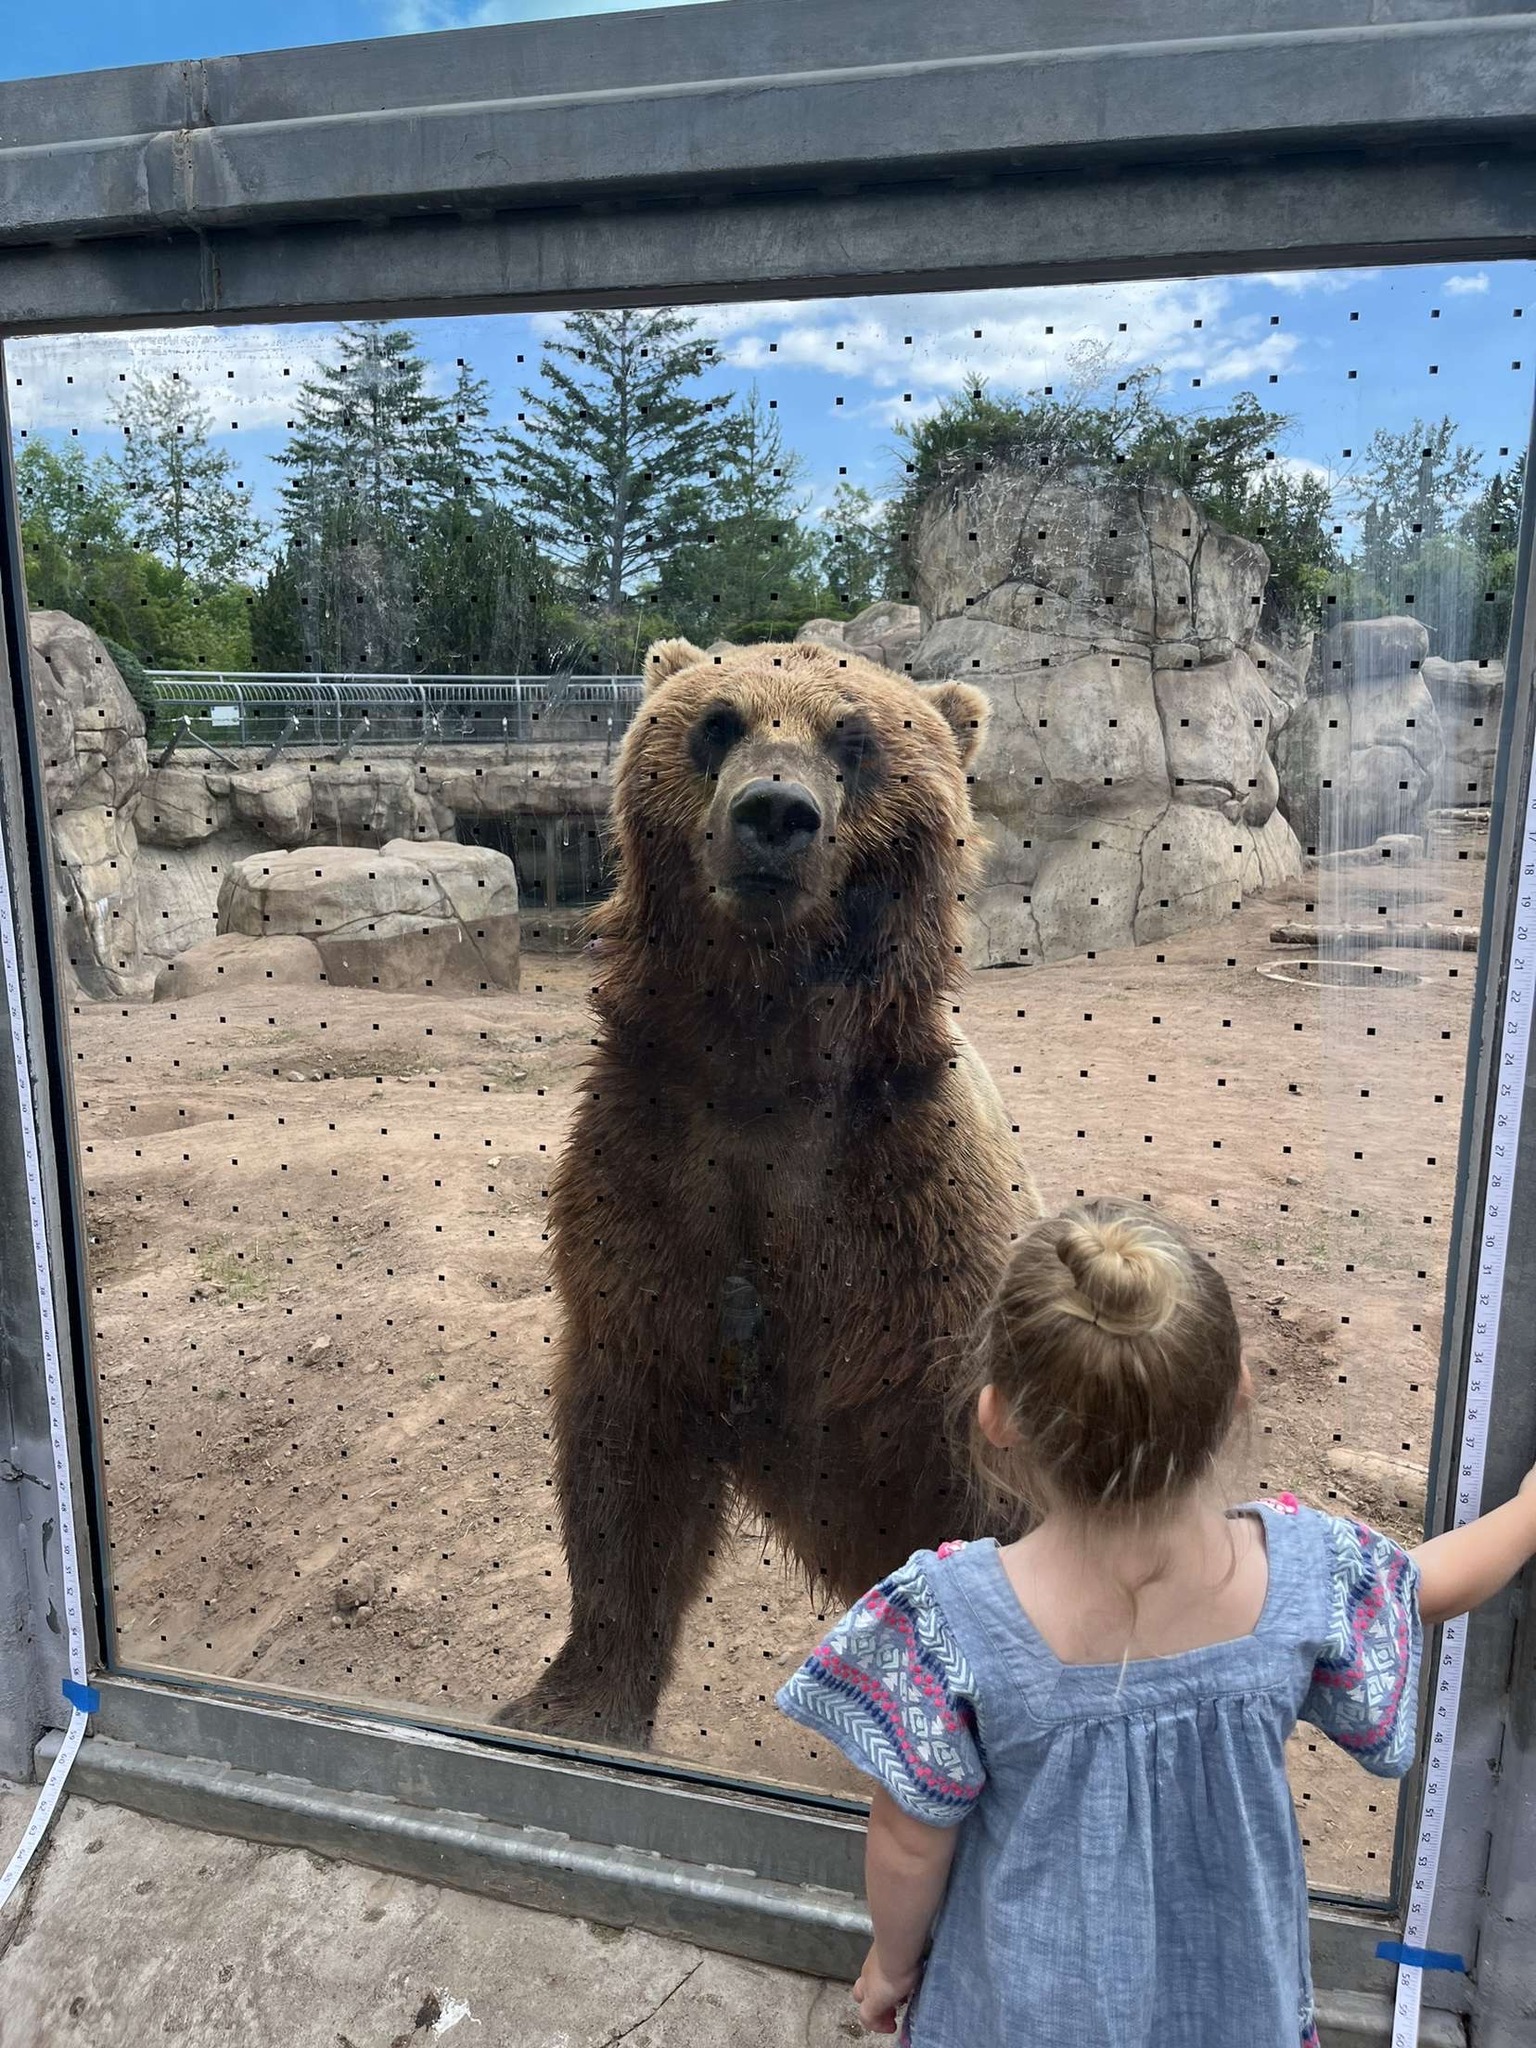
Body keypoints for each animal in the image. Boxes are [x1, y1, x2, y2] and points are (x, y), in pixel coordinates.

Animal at [500, 636, 1039, 1747]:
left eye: (857, 737)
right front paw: (575, 1699)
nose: (775, 813)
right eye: (719, 721)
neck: (766, 1064)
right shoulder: (654, 1182)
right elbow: (628, 1460)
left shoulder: (914, 1218)